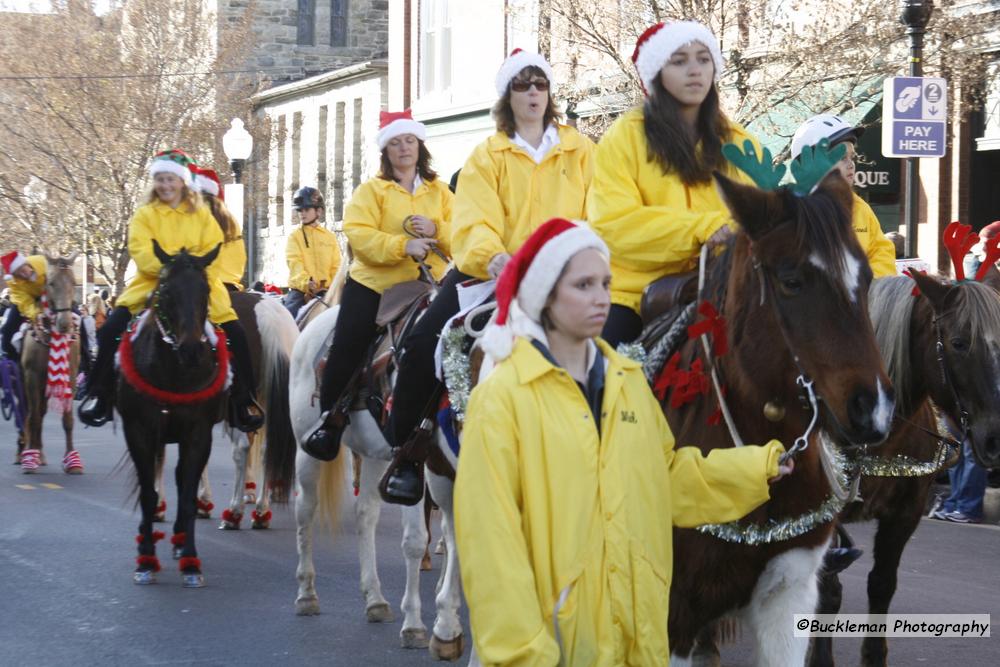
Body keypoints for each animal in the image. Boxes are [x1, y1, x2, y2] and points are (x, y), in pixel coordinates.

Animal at [18, 252, 82, 474]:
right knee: (30, 415)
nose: (64, 323)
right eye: (51, 283)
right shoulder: (31, 377)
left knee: (40, 412)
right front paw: (30, 460)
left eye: (74, 282)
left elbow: (68, 420)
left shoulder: (70, 376)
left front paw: (72, 462)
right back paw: (28, 453)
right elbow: (34, 417)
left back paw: (39, 452)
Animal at [120, 243, 226, 588]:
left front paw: (191, 561)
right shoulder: (138, 430)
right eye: (166, 291)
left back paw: (180, 541)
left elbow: (188, 494)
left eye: (206, 290)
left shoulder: (198, 433)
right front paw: (146, 561)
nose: (192, 350)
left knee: (180, 480)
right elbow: (148, 494)